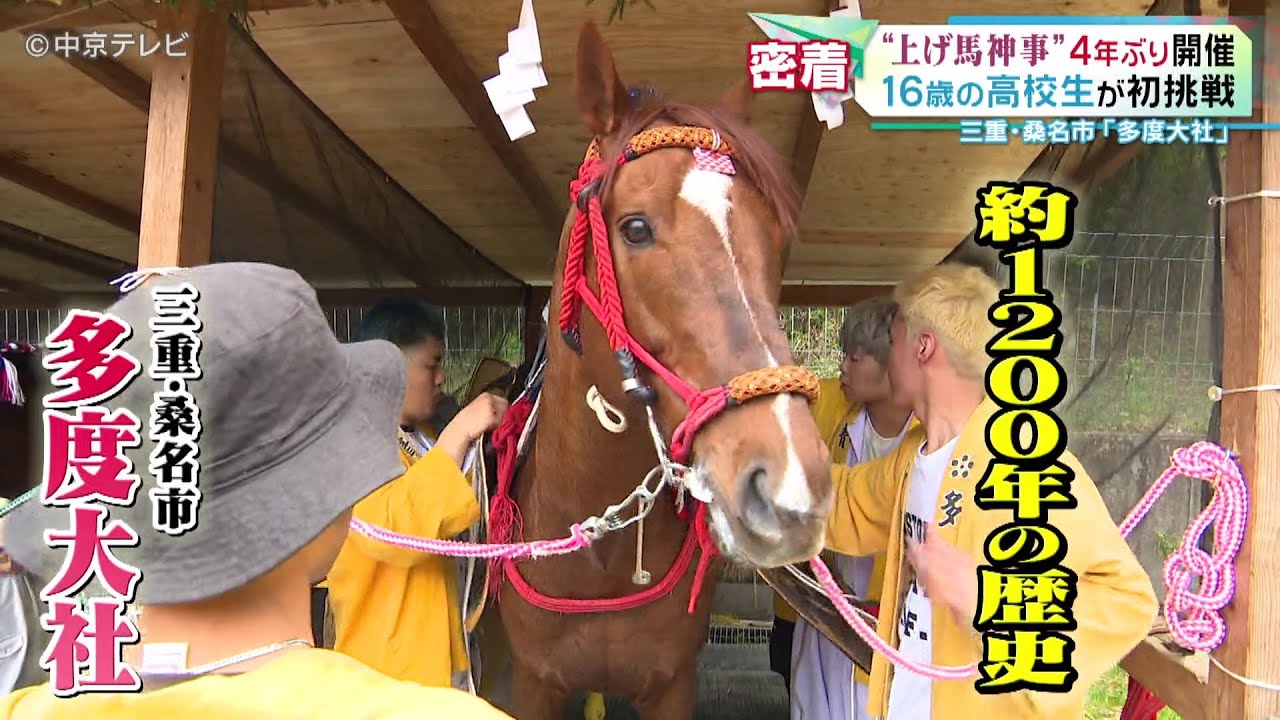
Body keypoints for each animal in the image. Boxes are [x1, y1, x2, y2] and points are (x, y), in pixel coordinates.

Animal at [490, 23, 835, 720]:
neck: (600, 557)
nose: (790, 482)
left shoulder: (672, 683)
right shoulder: (534, 683)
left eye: (773, 240)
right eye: (635, 228)